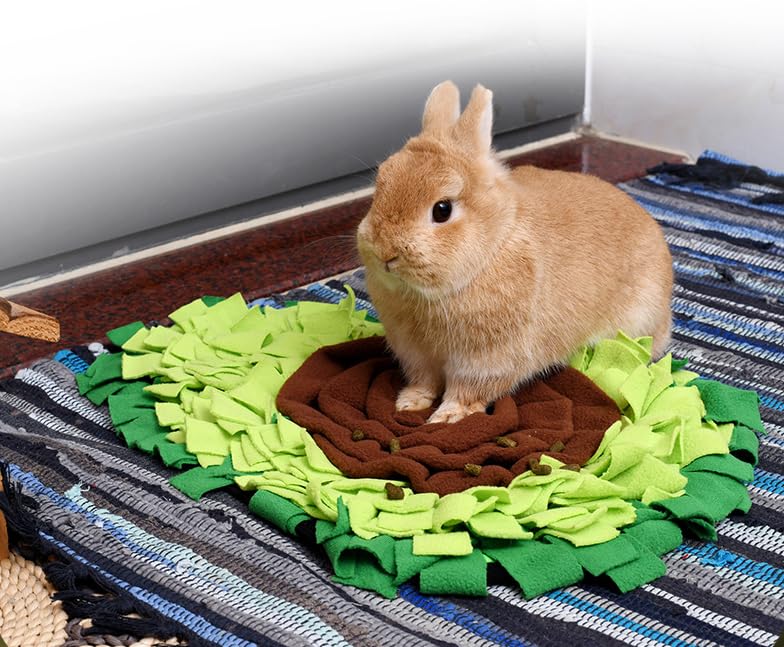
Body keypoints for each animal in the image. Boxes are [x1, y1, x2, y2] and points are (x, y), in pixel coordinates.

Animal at [356, 80, 673, 424]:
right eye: (380, 186)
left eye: (442, 210)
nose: (385, 254)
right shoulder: (415, 352)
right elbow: (423, 380)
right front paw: (409, 403)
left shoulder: (487, 359)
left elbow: (467, 390)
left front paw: (447, 418)